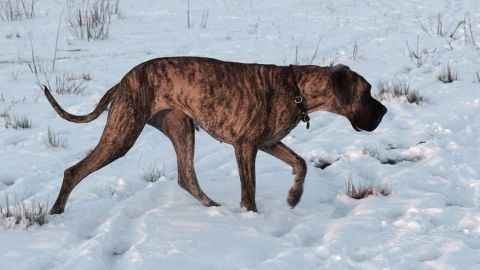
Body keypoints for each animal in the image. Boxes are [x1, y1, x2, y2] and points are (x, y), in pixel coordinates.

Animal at [45, 56, 388, 214]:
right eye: (367, 92)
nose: (384, 111)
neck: (298, 90)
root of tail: (123, 81)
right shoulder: (246, 146)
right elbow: (249, 192)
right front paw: (252, 218)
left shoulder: (269, 142)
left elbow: (300, 163)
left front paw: (294, 196)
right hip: (122, 134)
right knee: (74, 170)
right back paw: (57, 211)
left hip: (181, 129)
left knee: (186, 176)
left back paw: (212, 207)